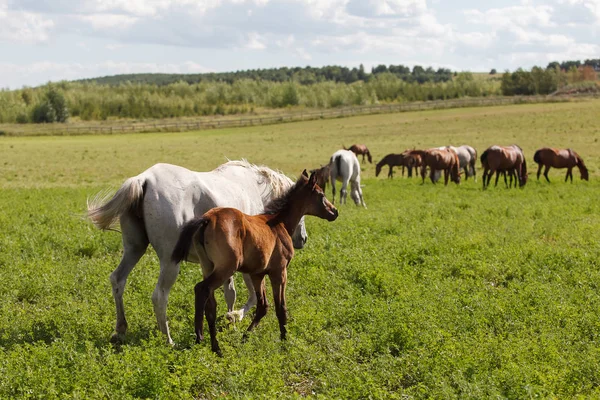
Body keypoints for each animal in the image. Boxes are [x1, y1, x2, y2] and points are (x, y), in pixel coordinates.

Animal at [86, 159, 308, 344]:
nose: (303, 239)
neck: (255, 189)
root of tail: (144, 180)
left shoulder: (221, 265)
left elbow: (229, 293)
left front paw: (230, 322)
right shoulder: (251, 265)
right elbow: (252, 297)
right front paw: (234, 317)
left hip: (134, 249)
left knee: (118, 280)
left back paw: (121, 330)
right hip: (169, 263)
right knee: (159, 296)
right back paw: (168, 340)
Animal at [170, 170, 338, 354]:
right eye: (321, 194)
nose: (335, 212)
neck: (279, 223)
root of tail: (207, 219)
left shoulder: (258, 275)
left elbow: (262, 306)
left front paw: (245, 337)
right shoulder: (279, 272)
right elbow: (280, 307)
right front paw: (284, 340)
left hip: (207, 266)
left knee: (210, 303)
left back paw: (214, 345)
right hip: (226, 268)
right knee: (201, 289)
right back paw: (203, 339)